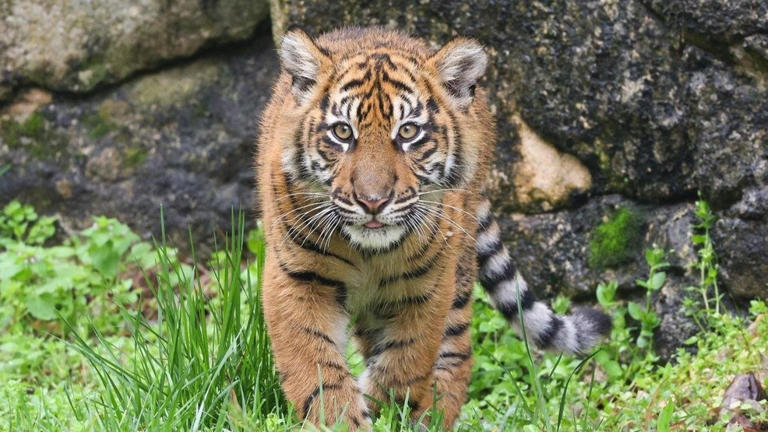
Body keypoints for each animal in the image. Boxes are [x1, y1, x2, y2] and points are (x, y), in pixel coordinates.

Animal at [256, 27, 612, 428]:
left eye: (408, 132)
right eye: (343, 132)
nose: (373, 201)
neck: (367, 253)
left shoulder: (426, 287)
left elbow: (404, 362)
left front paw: (384, 406)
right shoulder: (299, 280)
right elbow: (319, 369)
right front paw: (342, 419)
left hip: (458, 275)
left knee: (458, 354)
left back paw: (434, 416)